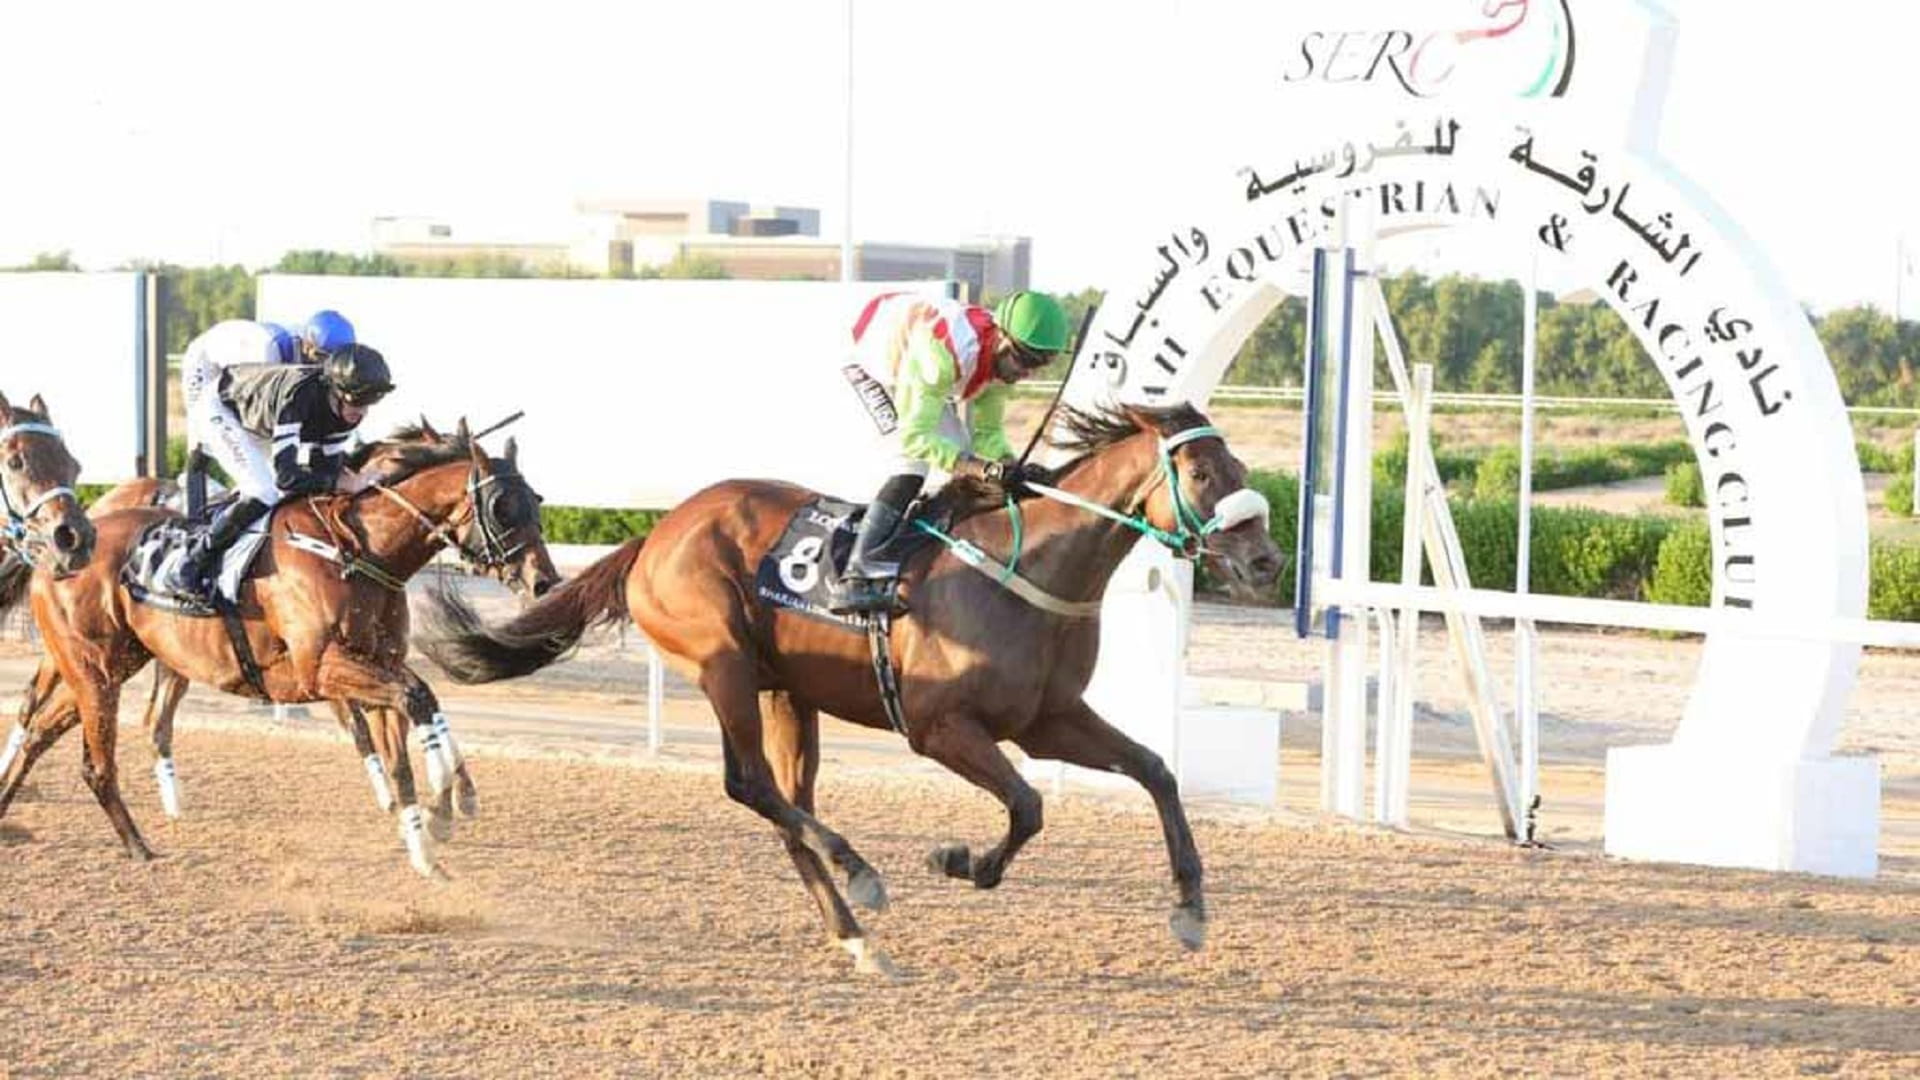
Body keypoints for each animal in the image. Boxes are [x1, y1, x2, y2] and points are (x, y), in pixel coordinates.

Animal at [0, 413, 556, 876]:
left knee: (43, 730)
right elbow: (414, 700)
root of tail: (56, 548)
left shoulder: (378, 664)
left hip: (113, 666)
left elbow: (409, 730)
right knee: (91, 758)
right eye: (502, 507)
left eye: (537, 501)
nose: (544, 581)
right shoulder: (319, 669)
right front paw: (447, 801)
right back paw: (139, 846)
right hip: (92, 667)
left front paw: (429, 841)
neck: (358, 551)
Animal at [422, 399, 1290, 972]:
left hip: (787, 692)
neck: (1029, 569)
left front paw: (1190, 910)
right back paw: (862, 876)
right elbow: (1028, 806)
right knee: (749, 785)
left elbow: (1155, 769)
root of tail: (658, 533)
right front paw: (960, 861)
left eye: (1242, 469)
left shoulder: (1047, 718)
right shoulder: (940, 727)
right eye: (1203, 472)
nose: (1265, 562)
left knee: (785, 804)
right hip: (723, 662)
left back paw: (854, 934)